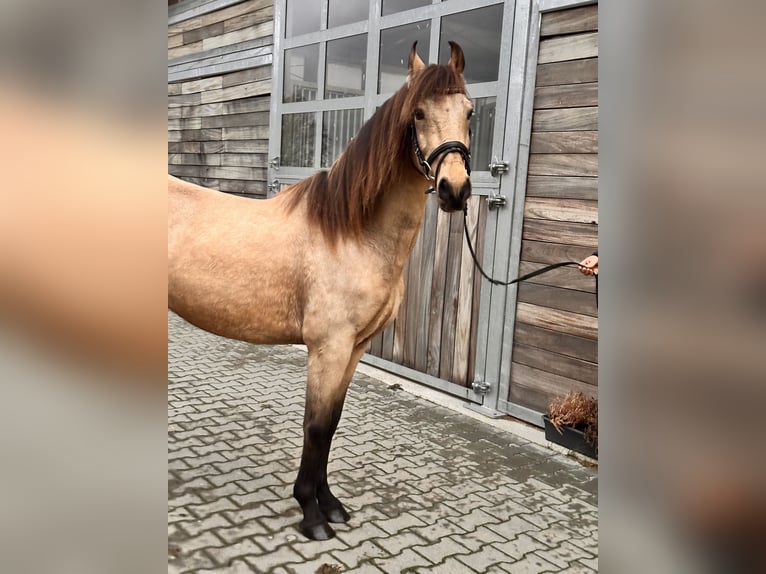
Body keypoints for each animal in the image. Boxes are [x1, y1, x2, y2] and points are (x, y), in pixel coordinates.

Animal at [168, 41, 473, 540]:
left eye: (469, 111)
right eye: (419, 113)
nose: (455, 190)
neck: (353, 232)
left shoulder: (354, 348)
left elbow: (331, 425)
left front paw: (330, 506)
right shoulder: (327, 347)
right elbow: (314, 427)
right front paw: (311, 516)